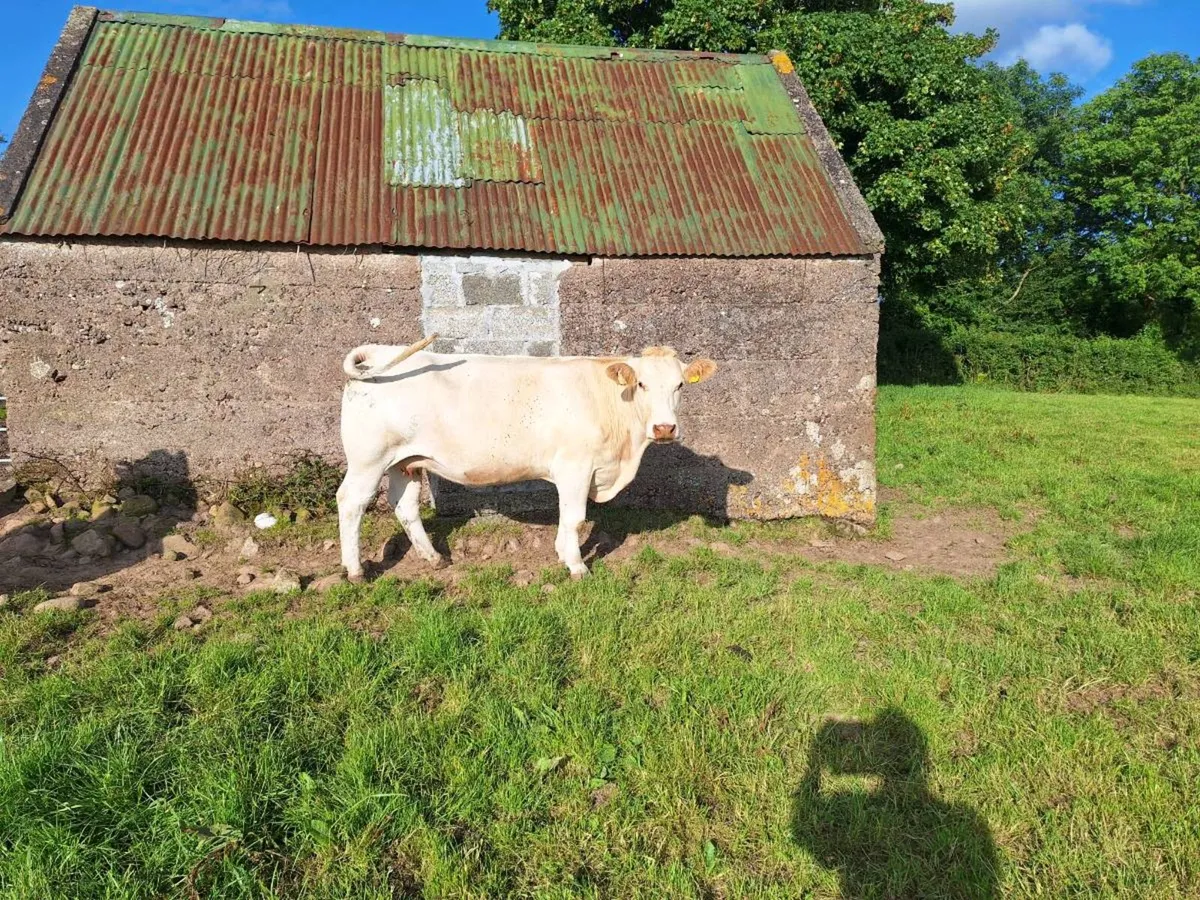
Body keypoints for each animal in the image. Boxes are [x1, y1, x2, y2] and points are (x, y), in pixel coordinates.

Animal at [335, 337, 718, 580]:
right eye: (641, 384)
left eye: (680, 385)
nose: (665, 428)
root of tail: (381, 353)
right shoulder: (575, 466)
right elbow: (575, 518)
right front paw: (577, 567)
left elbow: (567, 518)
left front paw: (563, 555)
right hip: (368, 460)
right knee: (351, 503)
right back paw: (356, 571)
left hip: (406, 461)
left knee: (405, 506)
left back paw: (434, 558)